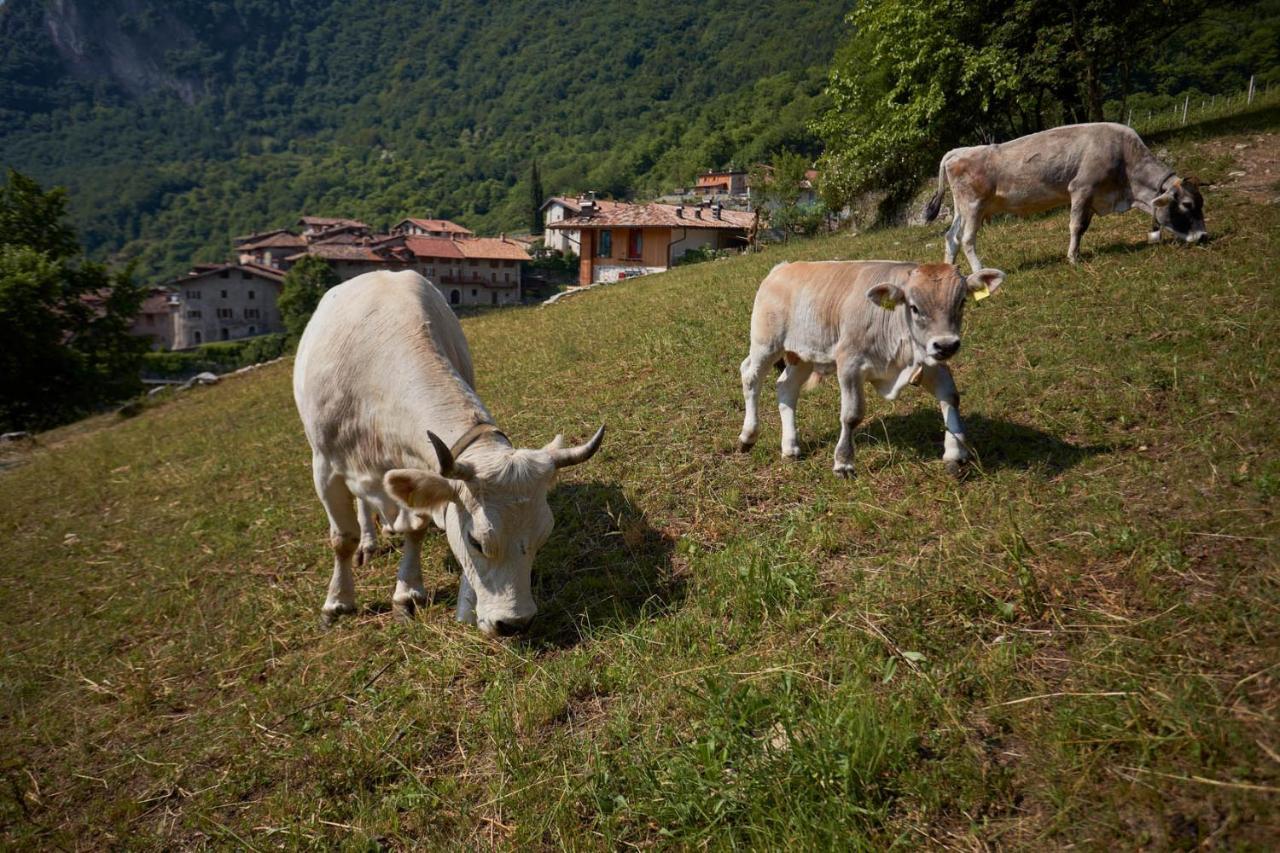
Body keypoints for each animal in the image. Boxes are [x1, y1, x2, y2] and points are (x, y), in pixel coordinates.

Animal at [294, 268, 604, 635]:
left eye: (543, 536)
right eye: (475, 541)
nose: (514, 623)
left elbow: (415, 527)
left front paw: (407, 593)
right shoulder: (325, 465)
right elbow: (342, 538)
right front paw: (337, 603)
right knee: (360, 508)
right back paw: (369, 541)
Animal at [737, 258, 1003, 473]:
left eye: (961, 302)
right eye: (914, 307)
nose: (947, 345)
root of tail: (782, 267)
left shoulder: (927, 358)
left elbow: (950, 396)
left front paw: (955, 452)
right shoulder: (849, 363)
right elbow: (852, 415)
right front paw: (844, 462)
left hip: (803, 355)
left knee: (786, 388)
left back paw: (791, 447)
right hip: (765, 344)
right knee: (750, 376)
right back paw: (748, 436)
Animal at [921, 121, 1208, 267]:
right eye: (1187, 204)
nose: (1204, 236)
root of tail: (959, 151)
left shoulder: (1092, 199)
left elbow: (1083, 228)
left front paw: (1077, 253)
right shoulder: (1081, 188)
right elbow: (1075, 226)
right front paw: (1072, 258)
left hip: (963, 209)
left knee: (951, 237)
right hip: (973, 206)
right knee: (967, 240)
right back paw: (981, 273)